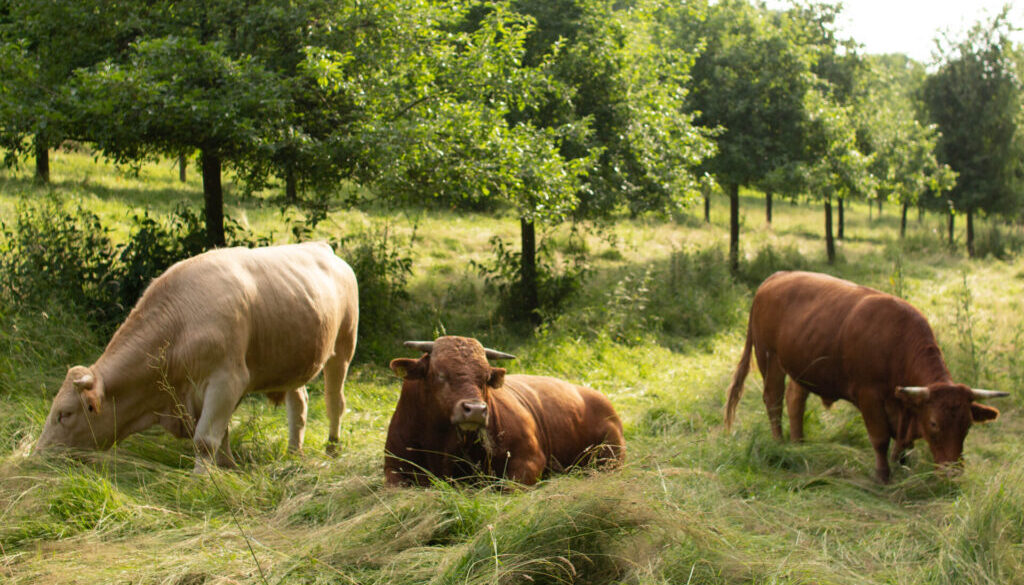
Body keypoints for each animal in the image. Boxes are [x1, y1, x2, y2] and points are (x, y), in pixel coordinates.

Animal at [34, 242, 360, 471]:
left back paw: (332, 446)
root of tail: (321, 246)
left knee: (335, 402)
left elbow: (205, 440)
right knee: (299, 404)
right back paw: (294, 452)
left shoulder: (227, 381)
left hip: (343, 348)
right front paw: (227, 467)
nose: (38, 454)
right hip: (294, 358)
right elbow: (222, 433)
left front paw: (202, 482)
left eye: (65, 414)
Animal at [385, 336, 622, 487]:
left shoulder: (528, 461)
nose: (476, 410)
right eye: (440, 374)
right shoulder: (393, 469)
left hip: (610, 455)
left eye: (485, 377)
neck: (440, 443)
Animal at [729, 272, 1007, 483]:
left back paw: (799, 444)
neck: (898, 345)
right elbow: (880, 438)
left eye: (967, 425)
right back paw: (780, 442)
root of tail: (777, 276)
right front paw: (882, 475)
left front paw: (902, 466)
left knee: (795, 400)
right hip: (769, 358)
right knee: (773, 400)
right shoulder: (869, 396)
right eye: (935, 423)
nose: (953, 474)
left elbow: (903, 445)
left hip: (802, 366)